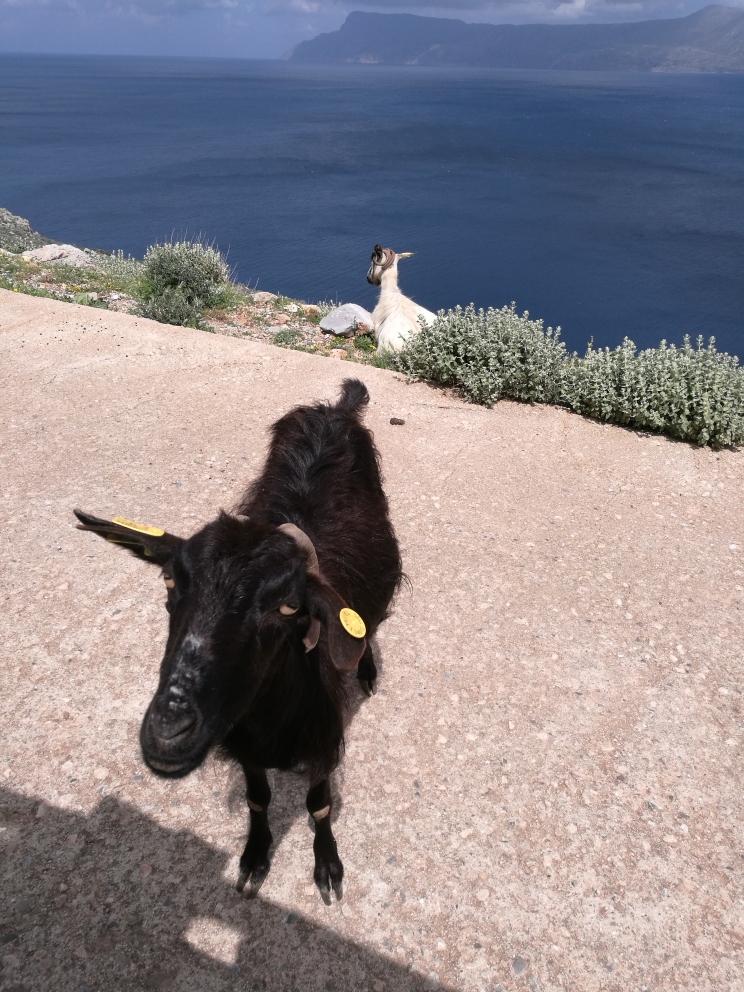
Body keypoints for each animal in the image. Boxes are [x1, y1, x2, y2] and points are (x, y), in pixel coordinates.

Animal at [74, 378, 402, 900]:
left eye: (287, 607)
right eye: (170, 580)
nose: (168, 732)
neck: (272, 723)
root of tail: (337, 409)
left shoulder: (325, 744)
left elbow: (319, 805)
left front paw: (327, 866)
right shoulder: (244, 746)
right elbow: (258, 798)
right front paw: (254, 856)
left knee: (369, 623)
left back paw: (366, 670)